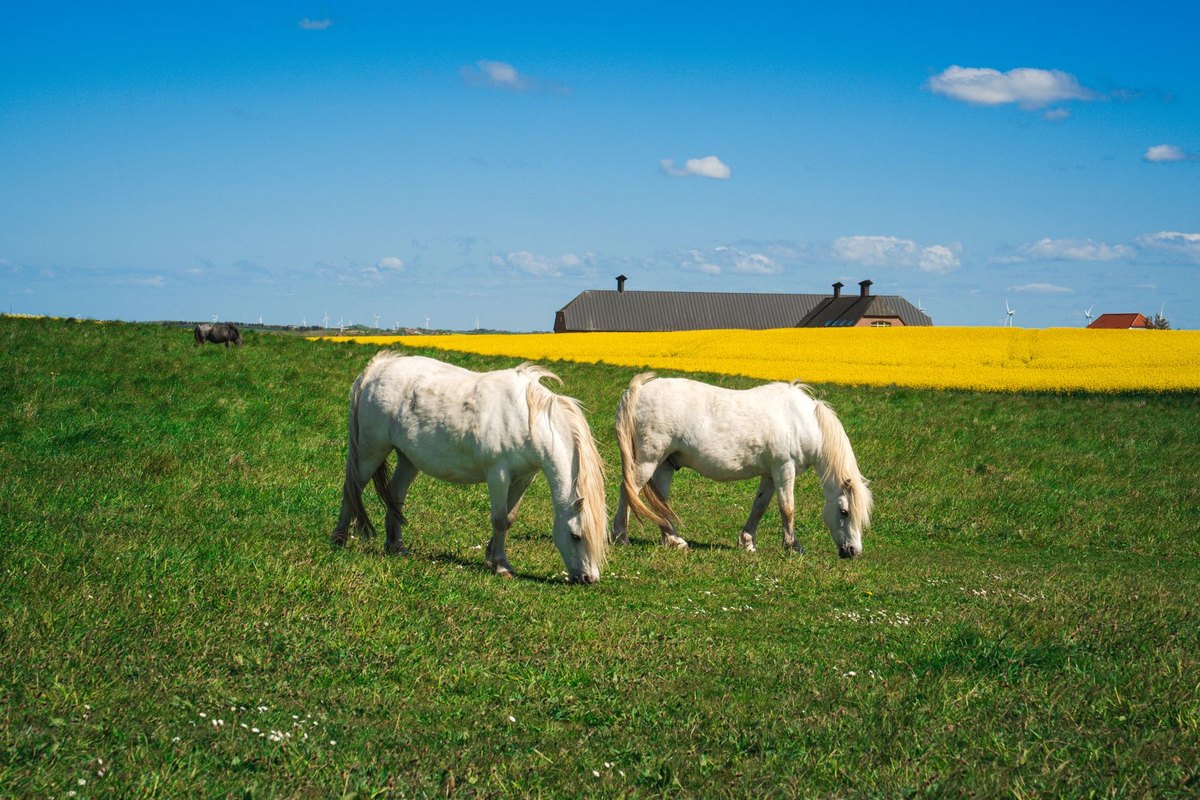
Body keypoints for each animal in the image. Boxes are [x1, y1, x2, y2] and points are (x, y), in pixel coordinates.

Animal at [331, 352, 608, 584]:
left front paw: (491, 557)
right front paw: (501, 566)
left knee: (395, 493)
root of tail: (377, 368)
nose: (588, 579)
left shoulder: (523, 478)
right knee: (352, 489)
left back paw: (395, 545)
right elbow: (499, 519)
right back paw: (339, 540)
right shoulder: (498, 475)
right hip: (371, 451)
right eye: (575, 535)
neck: (528, 418)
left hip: (408, 459)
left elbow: (509, 517)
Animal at [611, 372, 871, 558]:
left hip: (664, 464)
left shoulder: (770, 475)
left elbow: (759, 507)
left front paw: (747, 542)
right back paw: (621, 537)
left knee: (661, 501)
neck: (799, 421)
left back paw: (674, 541)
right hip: (648, 461)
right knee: (628, 491)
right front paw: (793, 547)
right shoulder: (784, 468)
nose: (853, 552)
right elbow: (787, 508)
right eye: (844, 511)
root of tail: (636, 391)